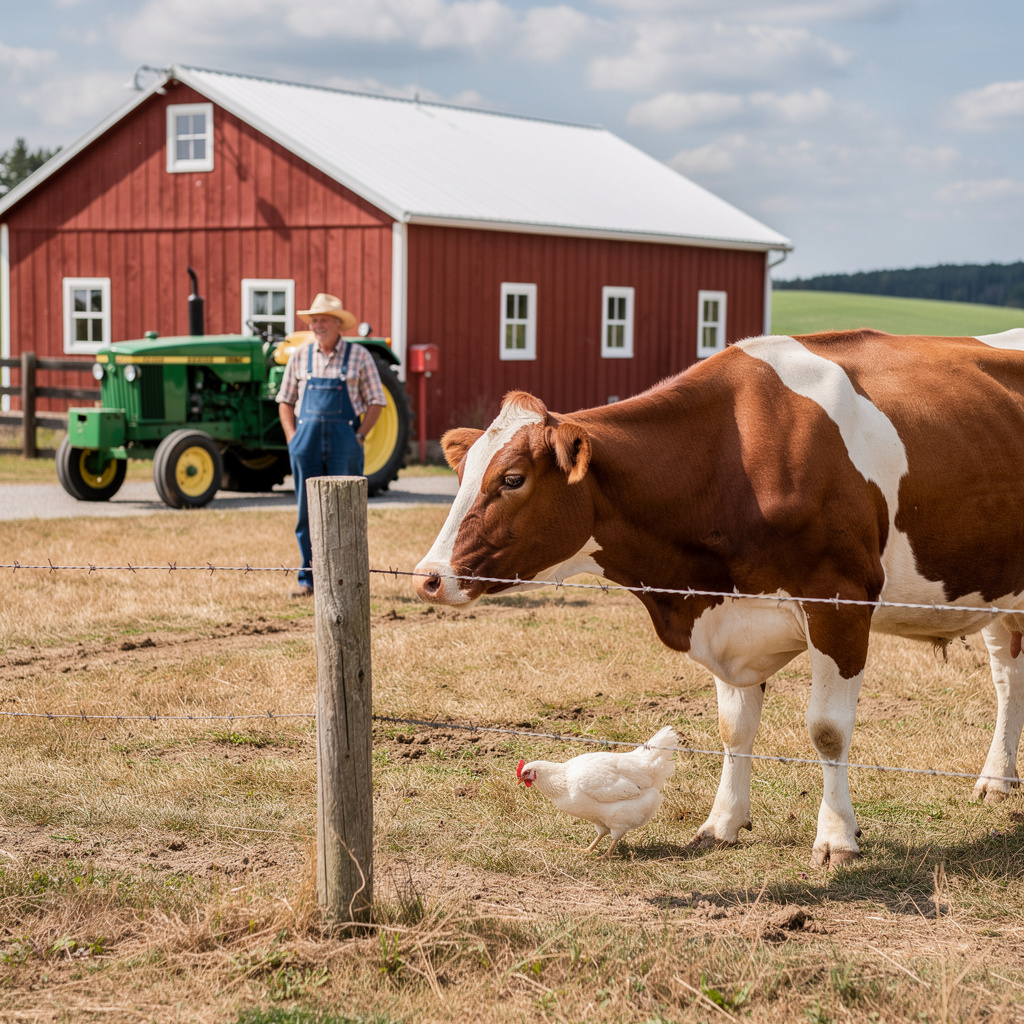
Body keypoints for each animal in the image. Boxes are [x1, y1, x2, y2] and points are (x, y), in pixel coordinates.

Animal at [414, 328, 1024, 866]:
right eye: (462, 474)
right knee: (1007, 679)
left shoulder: (840, 603)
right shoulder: (727, 616)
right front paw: (722, 824)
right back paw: (997, 779)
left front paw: (837, 839)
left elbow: (827, 731)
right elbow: (735, 728)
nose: (428, 576)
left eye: (513, 479)